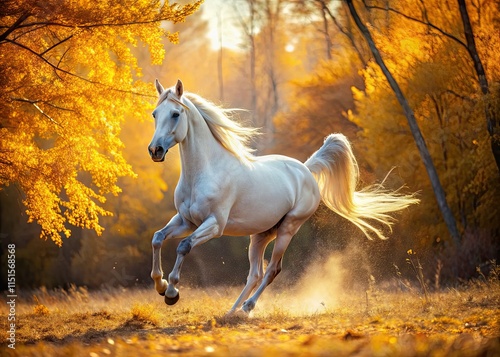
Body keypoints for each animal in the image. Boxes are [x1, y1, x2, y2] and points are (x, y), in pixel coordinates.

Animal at [147, 78, 418, 312]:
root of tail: (306, 170)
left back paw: (247, 308)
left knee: (272, 270)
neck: (206, 172)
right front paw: (160, 286)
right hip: (261, 234)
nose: (155, 150)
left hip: (288, 228)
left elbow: (184, 246)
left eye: (175, 114)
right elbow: (158, 238)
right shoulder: (186, 221)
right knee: (254, 274)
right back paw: (231, 312)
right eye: (154, 114)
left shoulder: (214, 225)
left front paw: (171, 293)